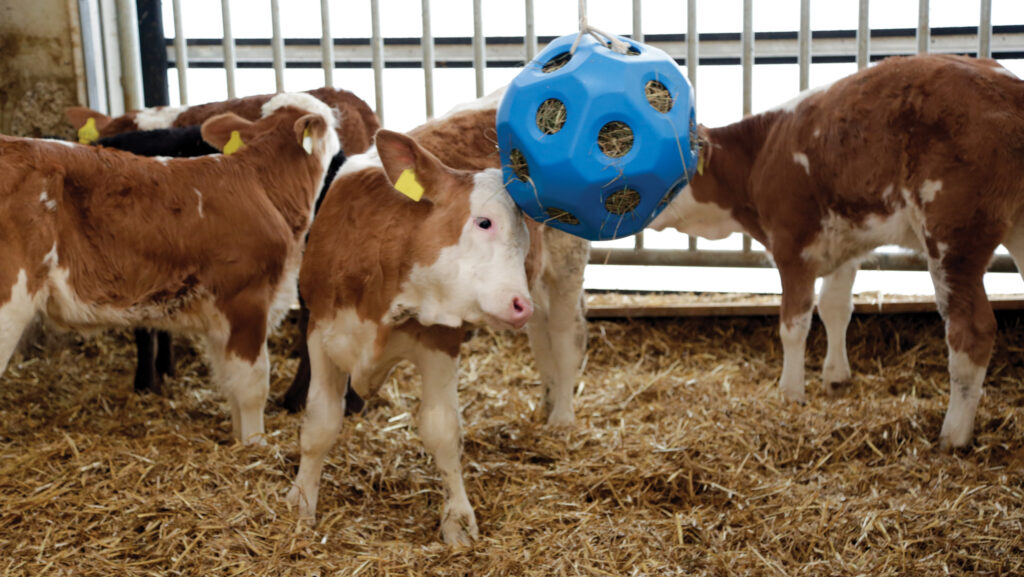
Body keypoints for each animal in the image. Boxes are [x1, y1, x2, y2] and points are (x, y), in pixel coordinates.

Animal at [0, 92, 342, 445]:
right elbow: (253, 385)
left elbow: (230, 383)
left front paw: (238, 441)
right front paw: (255, 445)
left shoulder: (219, 320)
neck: (261, 186)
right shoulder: (246, 301)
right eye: (328, 121)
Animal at [286, 90, 590, 545]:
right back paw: (547, 402)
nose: (517, 304)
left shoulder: (440, 341)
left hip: (565, 263)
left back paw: (562, 420)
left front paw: (458, 521)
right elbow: (319, 426)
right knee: (541, 336)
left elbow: (442, 430)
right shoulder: (321, 331)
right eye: (483, 222)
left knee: (565, 335)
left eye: (523, 237)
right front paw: (301, 503)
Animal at [649, 53, 1024, 449]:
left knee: (971, 330)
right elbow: (835, 307)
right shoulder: (846, 243)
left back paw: (953, 435)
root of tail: (1007, 87)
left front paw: (791, 394)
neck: (759, 156)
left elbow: (793, 324)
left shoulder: (791, 244)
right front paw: (836, 378)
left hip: (954, 233)